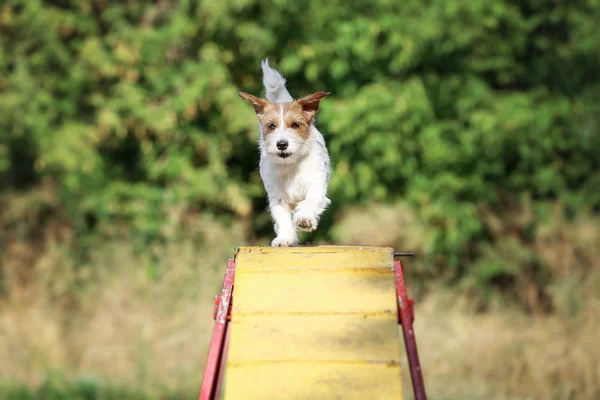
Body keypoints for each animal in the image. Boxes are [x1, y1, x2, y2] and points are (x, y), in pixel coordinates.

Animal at [239, 59, 332, 247]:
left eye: (295, 125)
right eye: (271, 126)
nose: (281, 144)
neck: (291, 165)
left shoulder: (316, 185)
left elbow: (310, 201)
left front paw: (305, 219)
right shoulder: (277, 197)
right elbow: (282, 219)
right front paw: (285, 238)